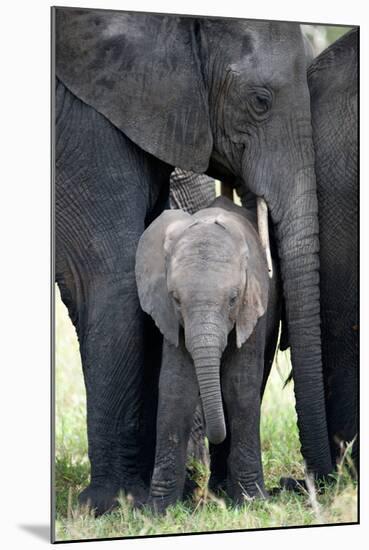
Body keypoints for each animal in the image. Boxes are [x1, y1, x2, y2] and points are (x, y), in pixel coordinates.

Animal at [135, 197, 276, 512]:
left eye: (233, 298)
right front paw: (157, 511)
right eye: (176, 299)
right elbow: (177, 387)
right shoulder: (171, 318)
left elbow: (240, 387)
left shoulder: (254, 306)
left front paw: (252, 503)